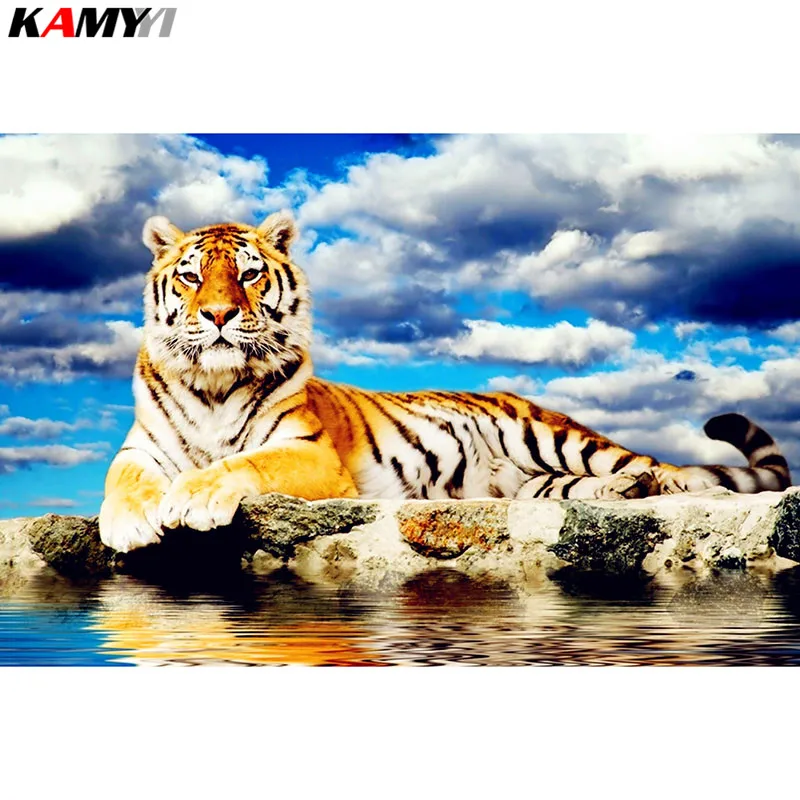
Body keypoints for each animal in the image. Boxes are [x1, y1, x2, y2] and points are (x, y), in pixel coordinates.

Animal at [98, 210, 793, 553]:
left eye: (247, 275)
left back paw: (678, 486)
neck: (212, 385)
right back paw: (618, 495)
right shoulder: (142, 450)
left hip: (556, 437)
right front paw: (129, 523)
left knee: (666, 469)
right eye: (191, 277)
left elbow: (243, 464)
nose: (218, 314)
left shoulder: (309, 453)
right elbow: (122, 481)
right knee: (596, 485)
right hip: (538, 481)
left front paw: (190, 499)